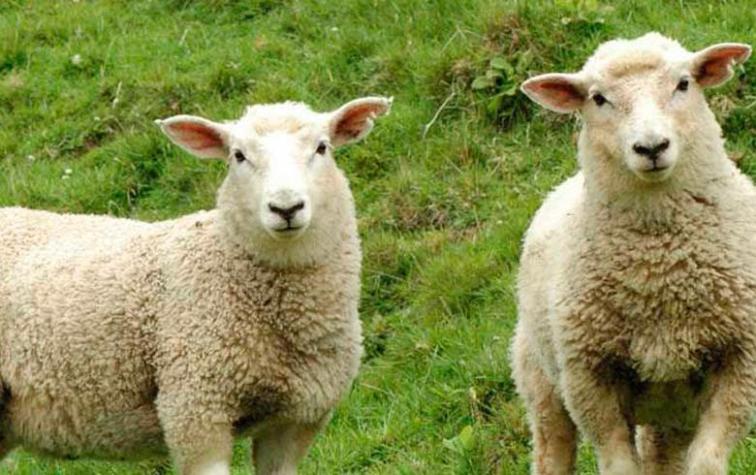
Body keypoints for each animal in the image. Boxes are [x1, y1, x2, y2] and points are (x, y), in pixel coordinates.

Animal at [511, 33, 754, 475]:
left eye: (683, 84)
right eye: (598, 98)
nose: (652, 147)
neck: (659, 267)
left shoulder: (741, 362)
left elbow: (706, 461)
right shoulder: (588, 379)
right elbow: (618, 464)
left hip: (670, 409)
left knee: (662, 457)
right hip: (540, 380)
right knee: (552, 451)